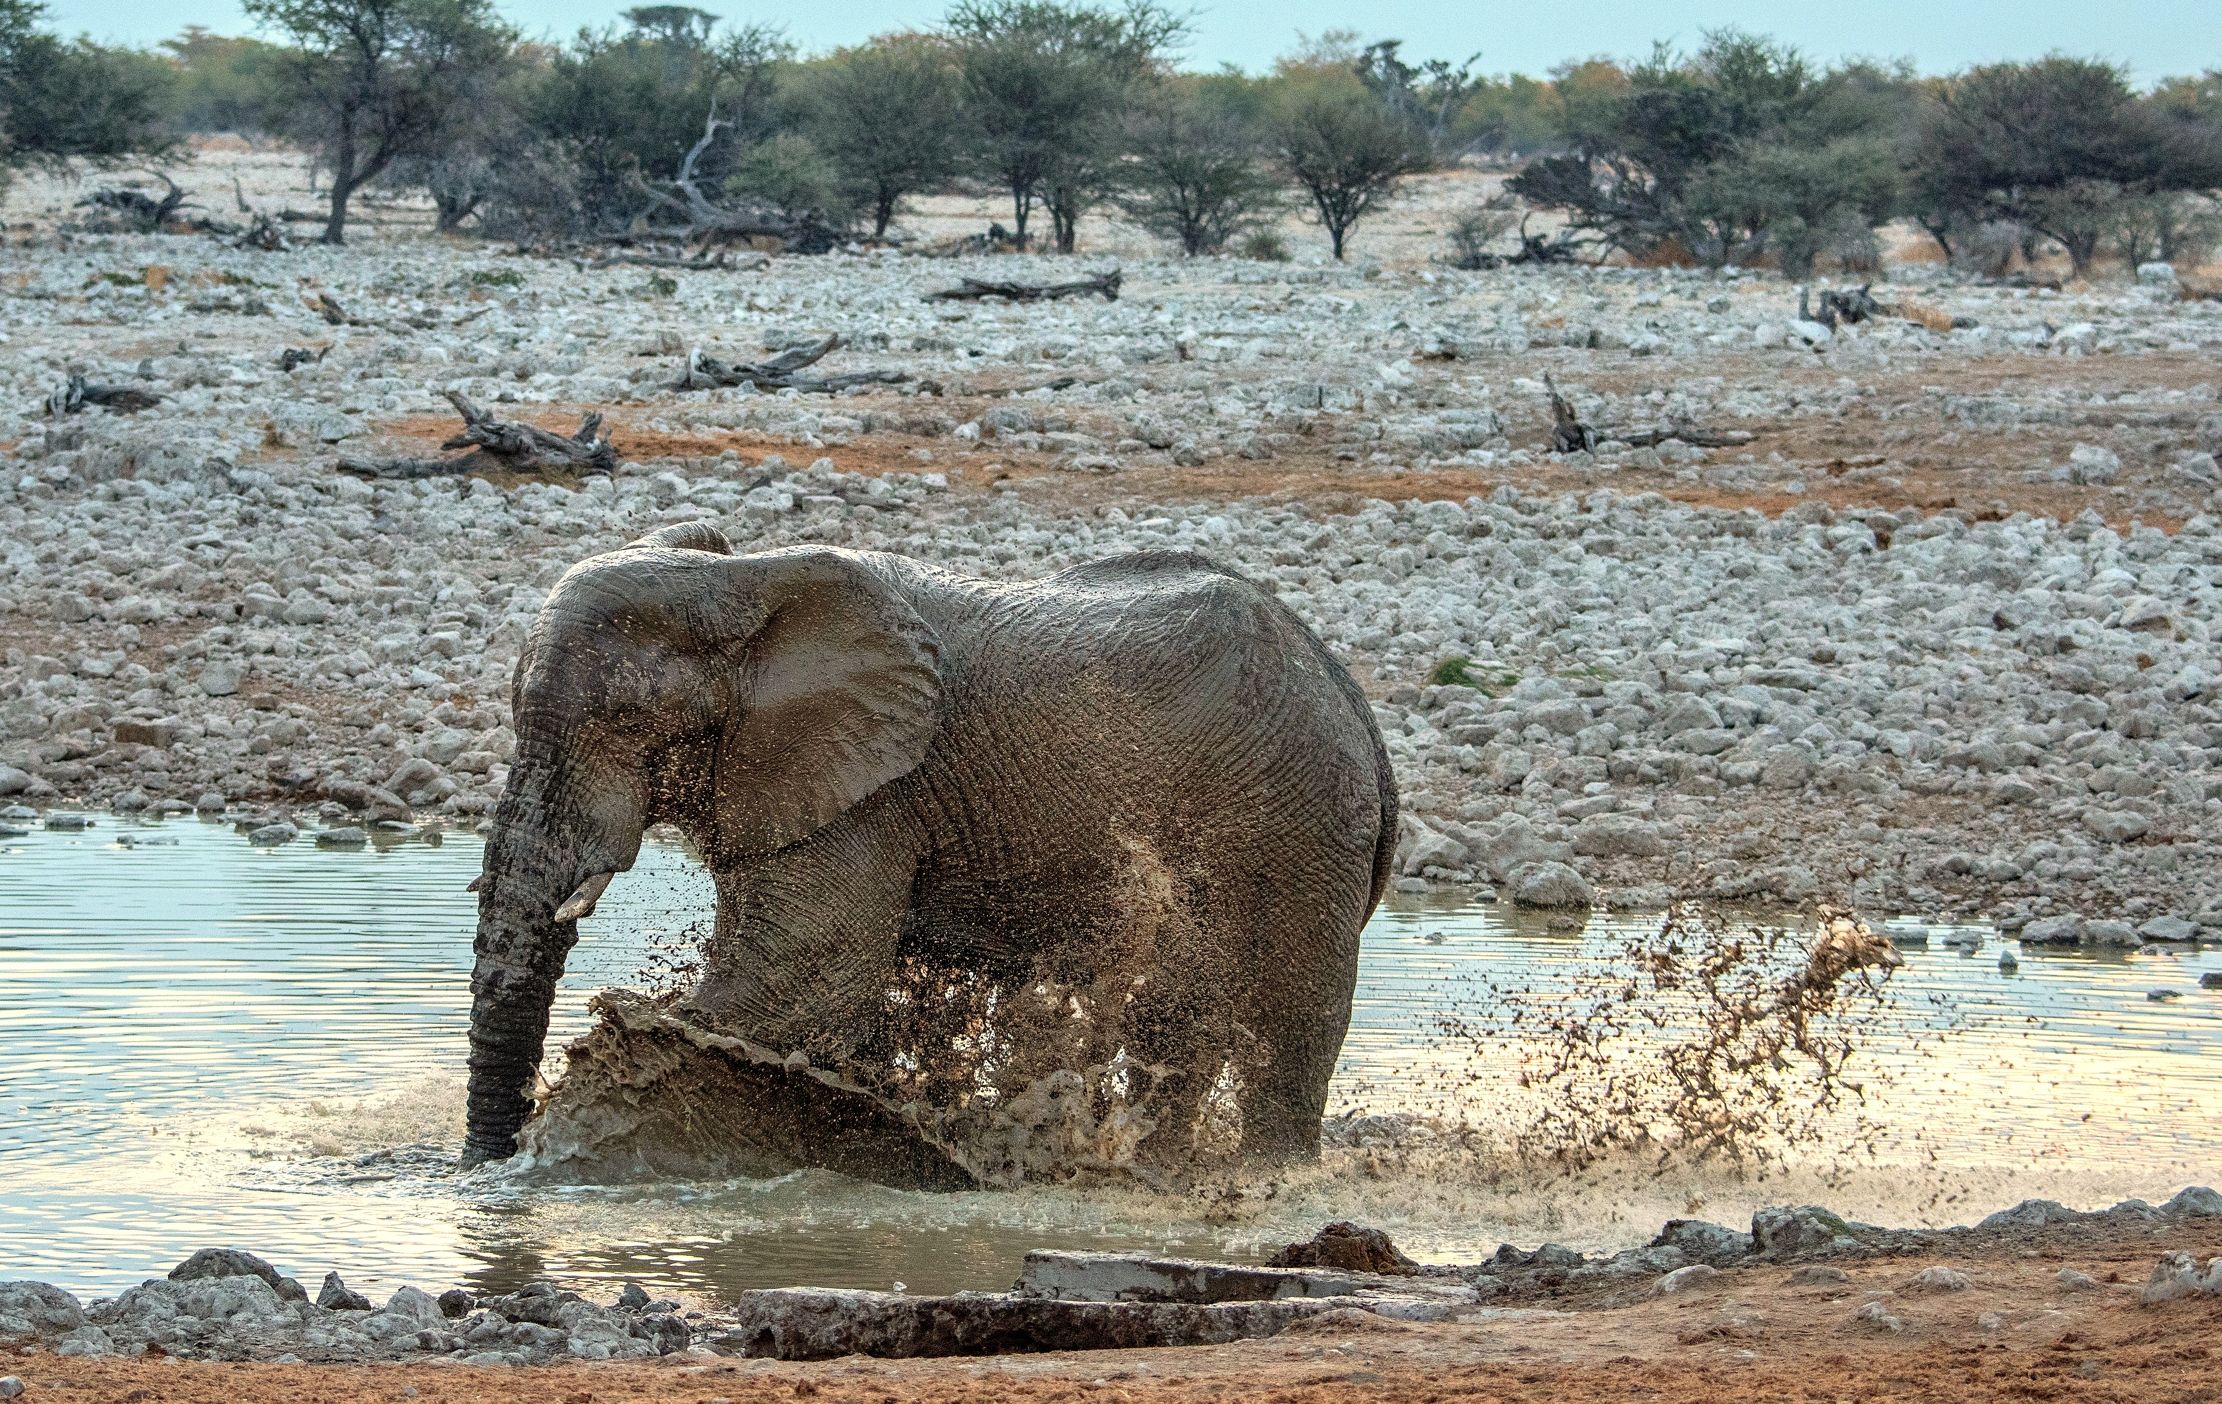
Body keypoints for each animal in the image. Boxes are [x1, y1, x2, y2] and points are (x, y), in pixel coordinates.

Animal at [462, 522, 1398, 1172]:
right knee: (1177, 1025)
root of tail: (1346, 692)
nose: (485, 1171)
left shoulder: (874, 786)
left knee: (1288, 1024)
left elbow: (796, 987)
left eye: (622, 721)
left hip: (1301, 824)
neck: (740, 577)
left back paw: (1262, 1179)